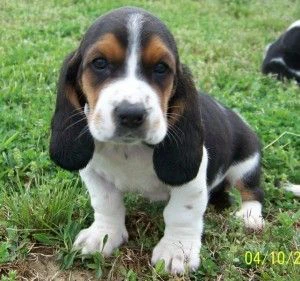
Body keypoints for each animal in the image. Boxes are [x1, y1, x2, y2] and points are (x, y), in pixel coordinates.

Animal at [50, 7, 264, 274]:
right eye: (99, 63)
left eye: (161, 68)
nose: (131, 114)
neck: (129, 149)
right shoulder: (93, 173)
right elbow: (106, 203)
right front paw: (103, 235)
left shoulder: (192, 179)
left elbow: (181, 213)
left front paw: (177, 250)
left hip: (248, 162)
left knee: (252, 190)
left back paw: (250, 215)